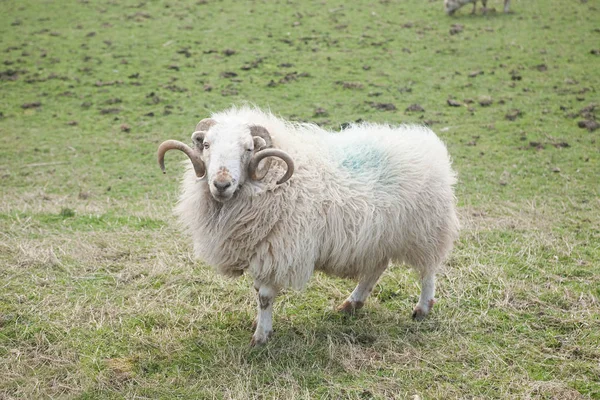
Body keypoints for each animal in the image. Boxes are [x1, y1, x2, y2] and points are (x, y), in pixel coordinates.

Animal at [156, 107, 460, 346]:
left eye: (248, 148)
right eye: (207, 145)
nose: (221, 184)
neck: (273, 179)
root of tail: (427, 140)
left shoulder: (276, 250)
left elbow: (264, 297)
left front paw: (261, 337)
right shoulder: (261, 248)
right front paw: (262, 328)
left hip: (425, 229)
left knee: (427, 271)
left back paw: (422, 308)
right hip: (377, 237)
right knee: (375, 269)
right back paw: (352, 303)